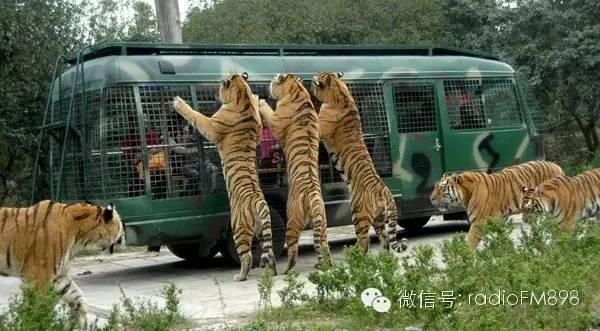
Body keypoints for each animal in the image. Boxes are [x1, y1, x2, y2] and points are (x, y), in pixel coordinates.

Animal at [172, 72, 278, 280]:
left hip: (238, 228)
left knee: (246, 256)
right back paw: (274, 272)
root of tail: (258, 201)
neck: (242, 98)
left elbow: (196, 116)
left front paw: (179, 103)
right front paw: (257, 99)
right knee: (270, 252)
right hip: (263, 229)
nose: (215, 93)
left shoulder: (211, 126)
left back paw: (240, 276)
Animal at [256, 74, 330, 274]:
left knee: (293, 249)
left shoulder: (276, 120)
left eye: (273, 80)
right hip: (322, 221)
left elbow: (268, 111)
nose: (266, 87)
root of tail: (313, 196)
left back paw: (287, 271)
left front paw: (259, 101)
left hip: (292, 220)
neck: (297, 90)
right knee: (323, 245)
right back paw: (326, 265)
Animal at [310, 72, 408, 254]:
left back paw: (353, 252)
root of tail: (385, 191)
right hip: (379, 218)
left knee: (365, 240)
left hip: (358, 213)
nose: (311, 85)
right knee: (384, 239)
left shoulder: (319, 128)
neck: (340, 92)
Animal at [428, 161, 564, 249]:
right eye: (434, 186)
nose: (431, 198)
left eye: (441, 188)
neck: (465, 194)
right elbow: (503, 240)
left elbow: (470, 242)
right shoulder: (499, 221)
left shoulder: (478, 223)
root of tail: (557, 166)